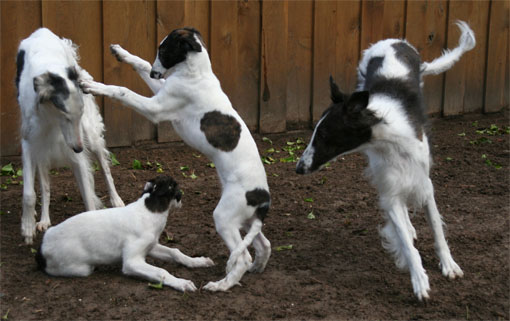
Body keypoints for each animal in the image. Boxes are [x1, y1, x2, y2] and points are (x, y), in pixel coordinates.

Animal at [16, 27, 124, 244]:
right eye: (65, 116)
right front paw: (28, 225)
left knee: (106, 169)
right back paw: (43, 219)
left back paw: (116, 200)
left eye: (78, 116)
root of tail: (43, 30)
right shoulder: (30, 142)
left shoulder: (77, 151)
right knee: (45, 187)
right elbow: (30, 193)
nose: (79, 148)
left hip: (92, 137)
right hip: (44, 153)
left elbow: (88, 194)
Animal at [35, 174, 211, 292]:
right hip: (81, 268)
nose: (181, 198)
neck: (149, 211)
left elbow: (176, 252)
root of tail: (41, 250)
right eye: (175, 187)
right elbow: (162, 272)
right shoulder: (131, 262)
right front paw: (182, 283)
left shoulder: (152, 245)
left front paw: (198, 261)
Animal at [80, 27, 270, 292]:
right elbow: (139, 63)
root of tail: (263, 197)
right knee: (264, 245)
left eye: (164, 50)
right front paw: (120, 53)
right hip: (245, 221)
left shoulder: (156, 108)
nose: (155, 72)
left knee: (243, 257)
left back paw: (221, 285)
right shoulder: (161, 91)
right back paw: (257, 269)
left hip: (225, 217)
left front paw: (93, 85)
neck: (196, 72)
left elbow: (121, 90)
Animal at [294, 21, 474, 298]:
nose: (298, 168)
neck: (389, 136)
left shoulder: (424, 183)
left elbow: (437, 227)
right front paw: (419, 278)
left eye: (323, 135)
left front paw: (448, 265)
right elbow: (405, 240)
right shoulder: (390, 189)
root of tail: (394, 40)